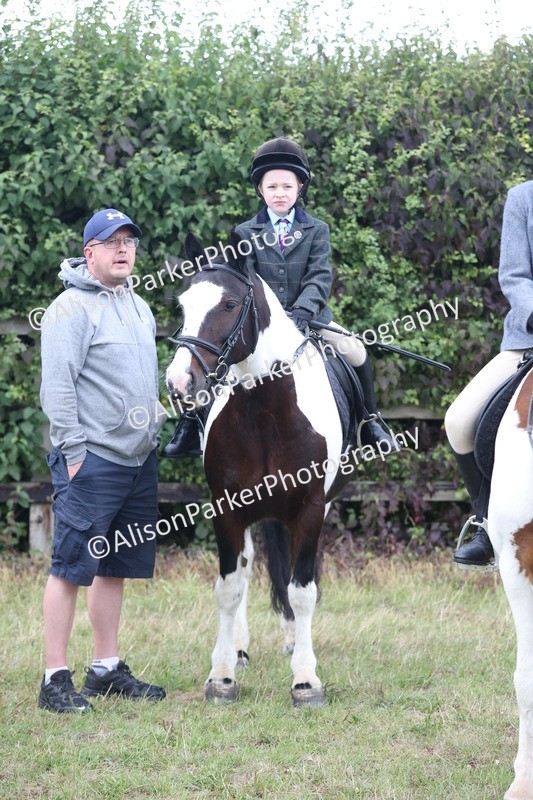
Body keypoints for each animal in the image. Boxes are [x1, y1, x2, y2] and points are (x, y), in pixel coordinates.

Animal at [165, 232, 358, 707]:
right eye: (183, 305)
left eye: (230, 304)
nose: (179, 383)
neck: (265, 410)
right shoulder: (227, 509)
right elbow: (230, 586)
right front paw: (221, 676)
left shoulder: (311, 508)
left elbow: (302, 590)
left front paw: (305, 679)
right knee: (250, 566)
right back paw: (239, 649)